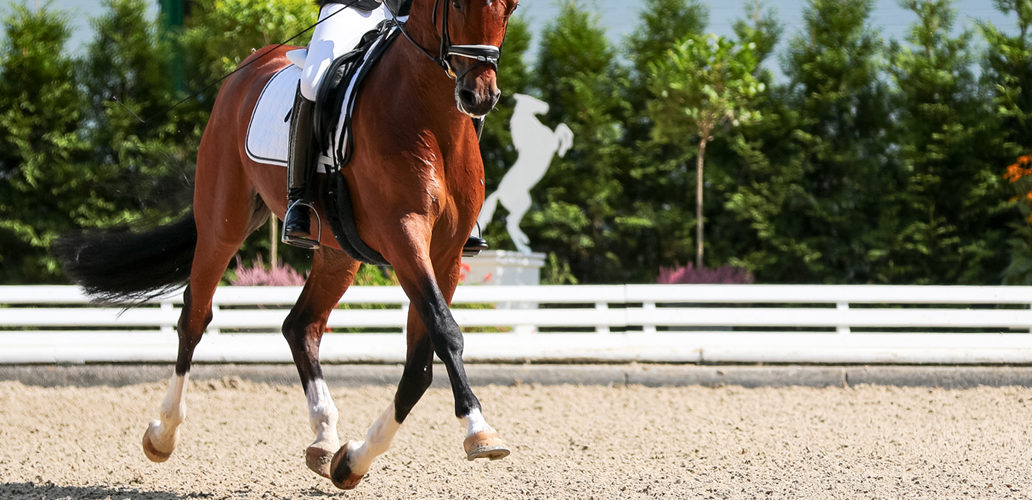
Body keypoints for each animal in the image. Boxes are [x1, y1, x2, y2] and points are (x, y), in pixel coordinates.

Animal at [53, 0, 516, 489]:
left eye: (510, 8)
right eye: (459, 5)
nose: (479, 97)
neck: (431, 117)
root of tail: (251, 64)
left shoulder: (445, 255)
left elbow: (419, 365)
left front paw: (353, 460)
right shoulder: (404, 235)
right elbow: (445, 333)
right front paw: (480, 430)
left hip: (337, 252)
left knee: (301, 325)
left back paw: (325, 437)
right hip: (222, 224)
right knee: (194, 317)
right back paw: (163, 433)